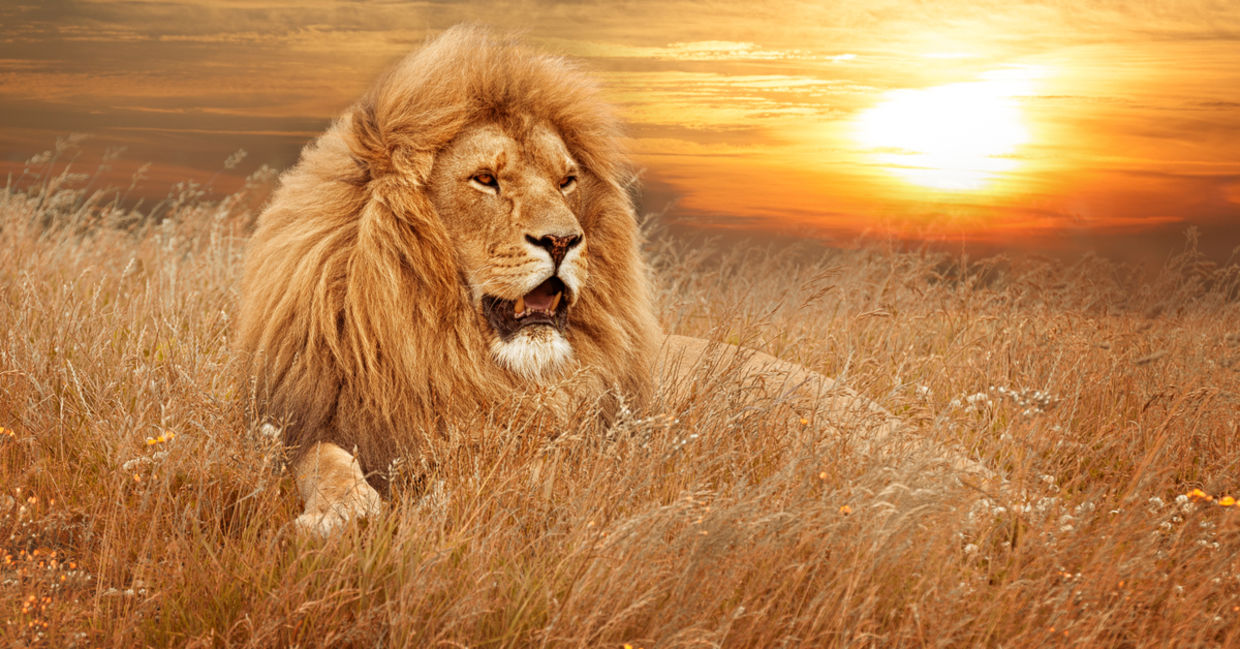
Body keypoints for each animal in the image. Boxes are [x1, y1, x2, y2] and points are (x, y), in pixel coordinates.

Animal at [237, 26, 986, 536]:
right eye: (485, 179)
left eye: (567, 180)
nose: (564, 240)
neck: (450, 355)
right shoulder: (301, 424)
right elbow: (323, 458)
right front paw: (342, 512)